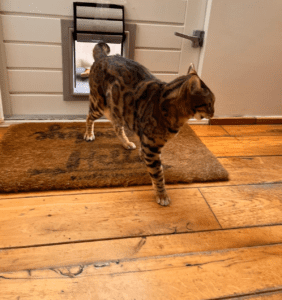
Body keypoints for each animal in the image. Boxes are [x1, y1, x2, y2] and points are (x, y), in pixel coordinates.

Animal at [85, 42, 215, 206]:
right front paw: (162, 195)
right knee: (89, 117)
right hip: (99, 104)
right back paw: (89, 134)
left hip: (118, 109)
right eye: (210, 103)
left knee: (116, 126)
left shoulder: (148, 142)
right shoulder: (151, 148)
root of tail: (104, 57)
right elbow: (158, 175)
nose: (214, 113)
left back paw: (126, 143)